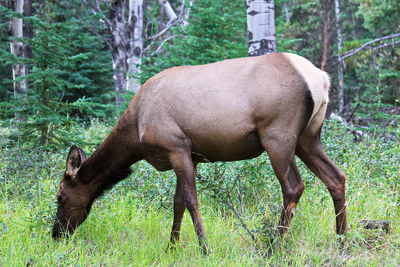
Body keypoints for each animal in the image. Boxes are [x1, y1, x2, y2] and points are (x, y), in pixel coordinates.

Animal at [52, 52, 346, 255]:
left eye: (60, 196)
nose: (56, 233)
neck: (135, 132)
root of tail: (322, 80)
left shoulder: (176, 146)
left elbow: (191, 200)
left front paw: (205, 249)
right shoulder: (190, 155)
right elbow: (178, 202)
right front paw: (171, 248)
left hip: (278, 135)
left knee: (294, 187)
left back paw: (273, 248)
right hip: (308, 137)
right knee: (337, 177)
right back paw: (343, 241)